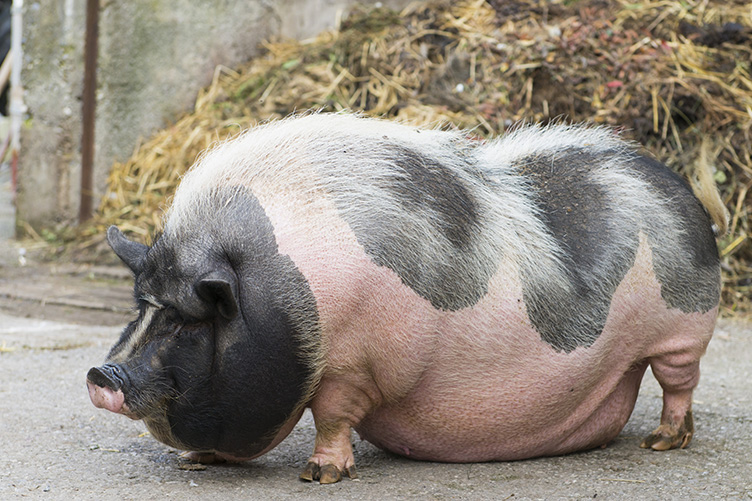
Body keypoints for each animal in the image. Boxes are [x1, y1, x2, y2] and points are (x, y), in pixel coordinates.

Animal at [87, 113, 726, 484]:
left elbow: (332, 414)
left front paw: (319, 476)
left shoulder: (353, 362)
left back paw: (662, 442)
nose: (100, 374)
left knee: (679, 384)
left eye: (188, 321)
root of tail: (674, 183)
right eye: (141, 304)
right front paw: (192, 459)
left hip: (684, 329)